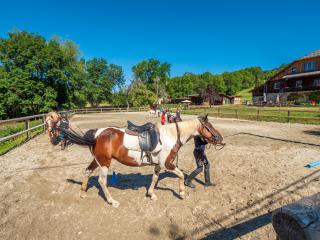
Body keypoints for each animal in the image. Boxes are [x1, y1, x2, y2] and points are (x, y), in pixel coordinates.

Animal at [64, 115, 224, 207]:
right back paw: (112, 201)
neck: (171, 136)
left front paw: (151, 194)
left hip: (97, 160)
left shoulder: (158, 165)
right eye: (209, 127)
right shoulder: (167, 164)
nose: (220, 139)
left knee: (87, 171)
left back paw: (83, 193)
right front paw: (182, 193)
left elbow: (154, 178)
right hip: (104, 163)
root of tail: (97, 133)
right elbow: (180, 175)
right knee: (102, 182)